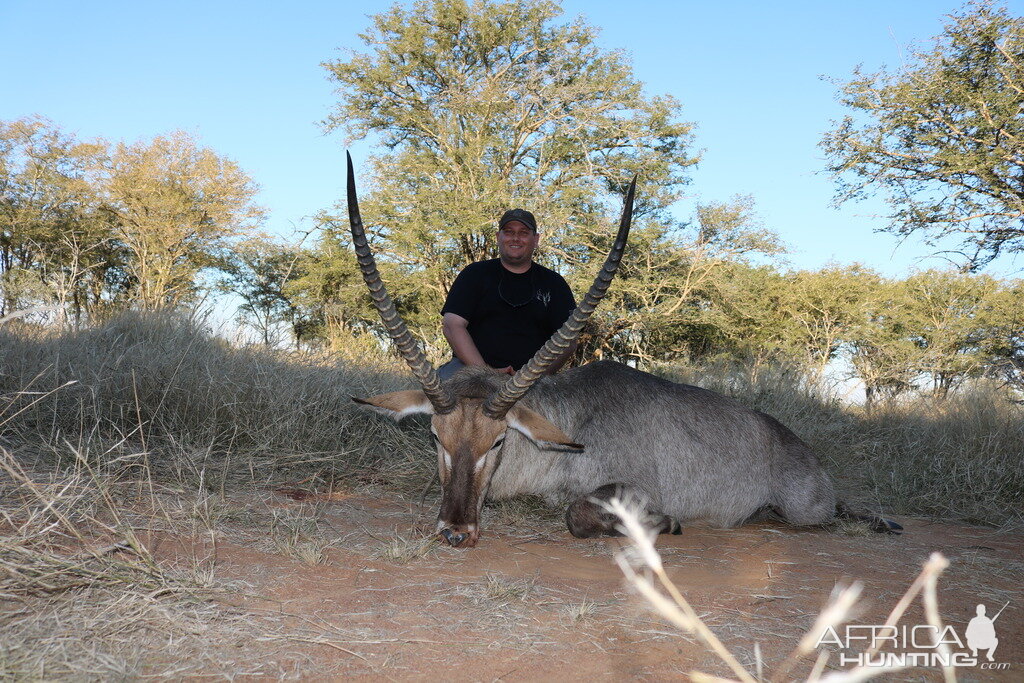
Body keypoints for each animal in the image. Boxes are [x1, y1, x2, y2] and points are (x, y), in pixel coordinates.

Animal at [348, 156, 901, 548]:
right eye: (435, 437)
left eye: (498, 441)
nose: (455, 533)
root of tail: (795, 443)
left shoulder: (628, 488)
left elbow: (577, 514)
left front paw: (666, 523)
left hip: (807, 510)